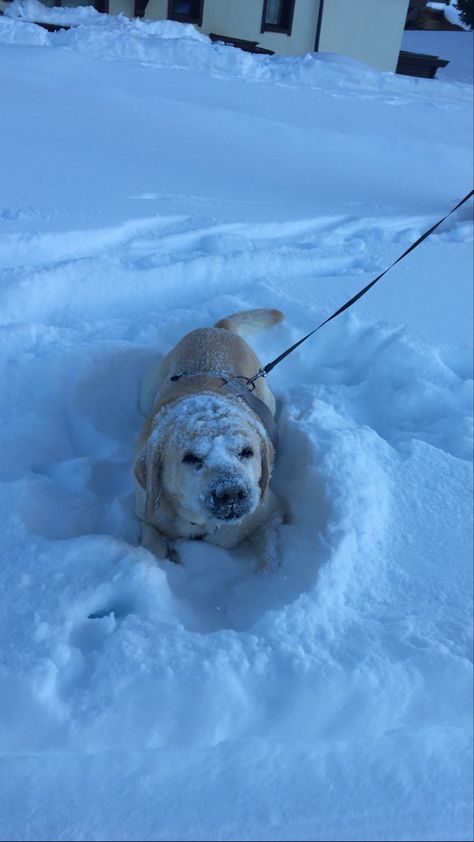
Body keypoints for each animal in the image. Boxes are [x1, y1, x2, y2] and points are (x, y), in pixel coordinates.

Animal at [133, 306, 284, 556]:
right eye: (191, 457)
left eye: (247, 452)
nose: (231, 492)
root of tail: (218, 329)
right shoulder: (145, 511)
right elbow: (152, 542)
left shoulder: (270, 508)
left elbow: (267, 547)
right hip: (146, 394)